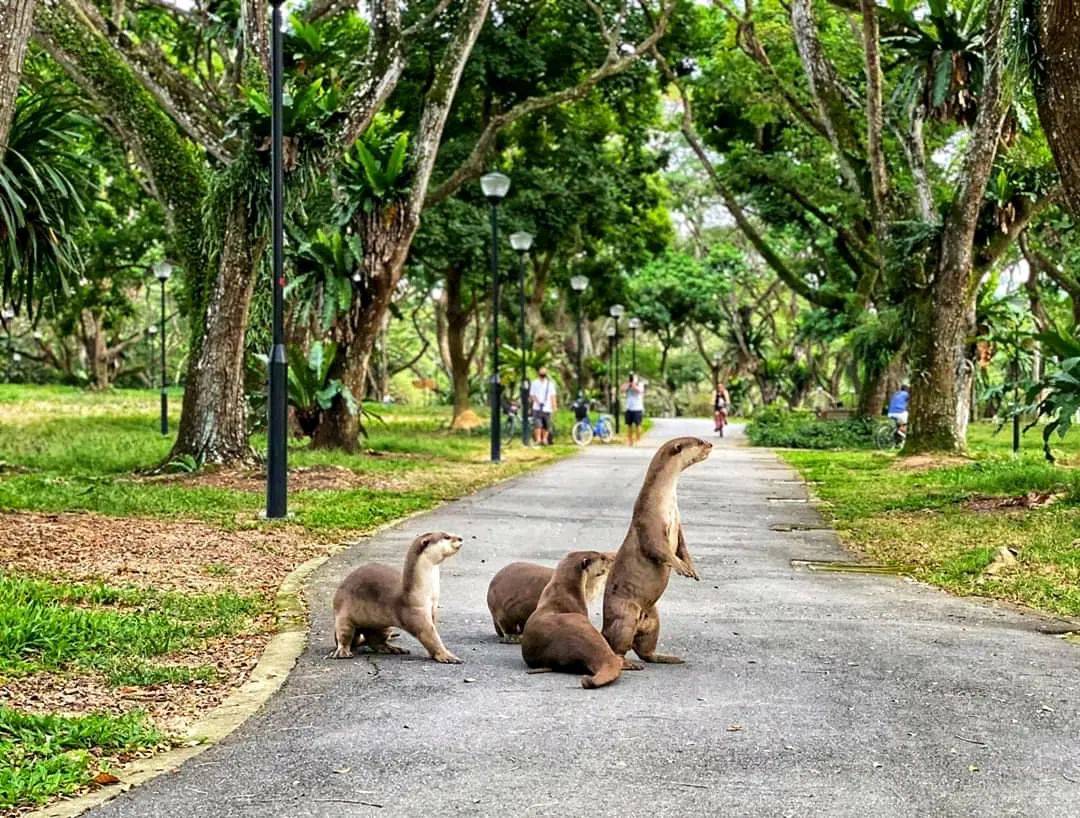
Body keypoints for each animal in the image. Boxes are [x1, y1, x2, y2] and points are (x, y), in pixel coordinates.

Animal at [328, 529, 464, 665]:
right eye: (447, 537)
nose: (460, 538)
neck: (426, 594)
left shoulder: (432, 608)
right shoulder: (416, 612)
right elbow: (429, 635)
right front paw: (447, 656)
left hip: (382, 626)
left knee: (374, 641)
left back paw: (393, 649)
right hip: (343, 614)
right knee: (345, 636)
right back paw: (342, 652)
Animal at [604, 434, 712, 665]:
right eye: (698, 442)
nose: (710, 444)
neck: (665, 500)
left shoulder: (678, 523)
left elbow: (683, 547)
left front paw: (692, 568)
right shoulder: (650, 522)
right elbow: (659, 548)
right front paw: (682, 568)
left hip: (654, 617)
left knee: (645, 650)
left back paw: (668, 658)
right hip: (626, 614)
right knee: (617, 647)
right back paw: (627, 664)